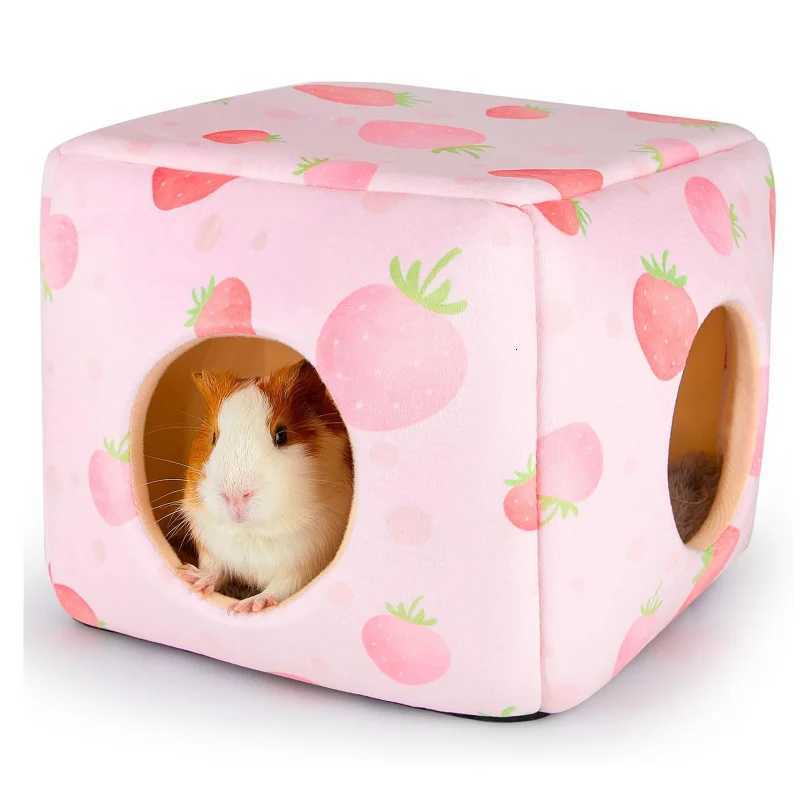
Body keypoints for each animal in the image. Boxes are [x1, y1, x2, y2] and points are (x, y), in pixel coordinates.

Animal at [178, 359, 353, 613]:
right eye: (213, 437)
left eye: (281, 435)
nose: (235, 497)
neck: (253, 532)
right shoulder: (210, 547)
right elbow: (214, 570)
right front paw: (190, 578)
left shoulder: (305, 562)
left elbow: (281, 588)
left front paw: (247, 607)